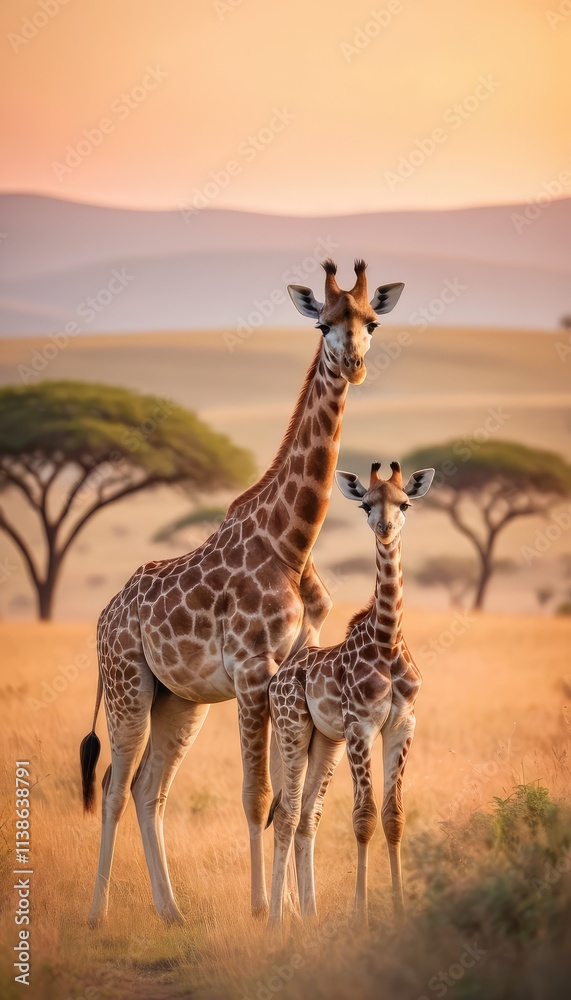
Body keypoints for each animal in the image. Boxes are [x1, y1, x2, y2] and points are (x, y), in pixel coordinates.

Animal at [79, 260, 405, 927]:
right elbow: (259, 796)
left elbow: (287, 799)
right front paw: (262, 911)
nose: (354, 363)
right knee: (113, 786)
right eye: (324, 322)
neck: (292, 541)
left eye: (372, 321)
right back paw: (98, 915)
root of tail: (103, 617)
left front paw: (295, 911)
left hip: (180, 700)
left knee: (149, 789)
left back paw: (171, 913)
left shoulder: (288, 672)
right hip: (128, 685)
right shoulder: (256, 670)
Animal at [268, 460, 435, 928]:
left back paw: (309, 916)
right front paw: (361, 915)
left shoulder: (402, 724)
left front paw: (400, 909)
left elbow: (394, 816)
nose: (385, 528)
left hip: (325, 741)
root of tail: (276, 678)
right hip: (292, 730)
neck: (388, 640)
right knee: (286, 814)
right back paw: (276, 921)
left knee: (307, 816)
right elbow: (364, 817)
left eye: (405, 503)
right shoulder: (361, 725)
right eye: (365, 503)